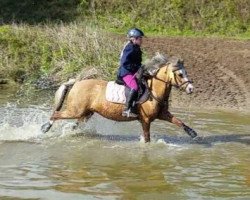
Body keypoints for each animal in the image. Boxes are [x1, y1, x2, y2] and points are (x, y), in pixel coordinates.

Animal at [41, 53, 198, 142]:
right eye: (180, 74)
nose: (191, 88)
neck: (154, 90)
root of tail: (76, 83)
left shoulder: (162, 114)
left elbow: (179, 122)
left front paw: (192, 133)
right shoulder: (146, 120)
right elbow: (147, 139)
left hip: (86, 113)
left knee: (74, 124)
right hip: (75, 110)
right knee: (56, 114)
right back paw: (45, 128)